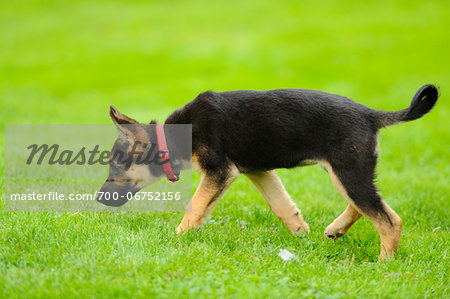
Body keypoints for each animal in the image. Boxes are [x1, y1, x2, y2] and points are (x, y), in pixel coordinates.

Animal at [98, 84, 440, 260]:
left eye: (115, 166)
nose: (100, 198)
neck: (171, 138)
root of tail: (371, 115)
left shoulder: (220, 171)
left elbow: (195, 206)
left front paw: (177, 238)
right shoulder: (258, 171)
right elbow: (282, 205)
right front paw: (301, 234)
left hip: (348, 170)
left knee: (388, 219)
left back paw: (384, 264)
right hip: (349, 170)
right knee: (364, 205)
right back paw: (336, 229)